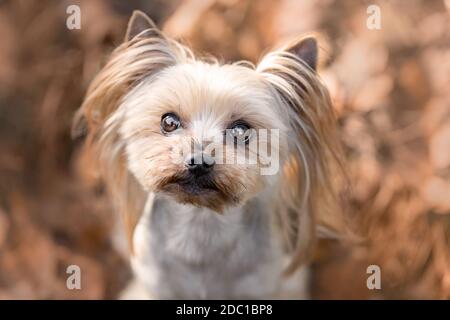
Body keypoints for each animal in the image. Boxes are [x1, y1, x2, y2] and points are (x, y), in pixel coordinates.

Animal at [73, 10, 342, 298]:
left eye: (241, 130)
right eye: (169, 121)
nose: (199, 162)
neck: (200, 224)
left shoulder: (264, 284)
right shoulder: (158, 283)